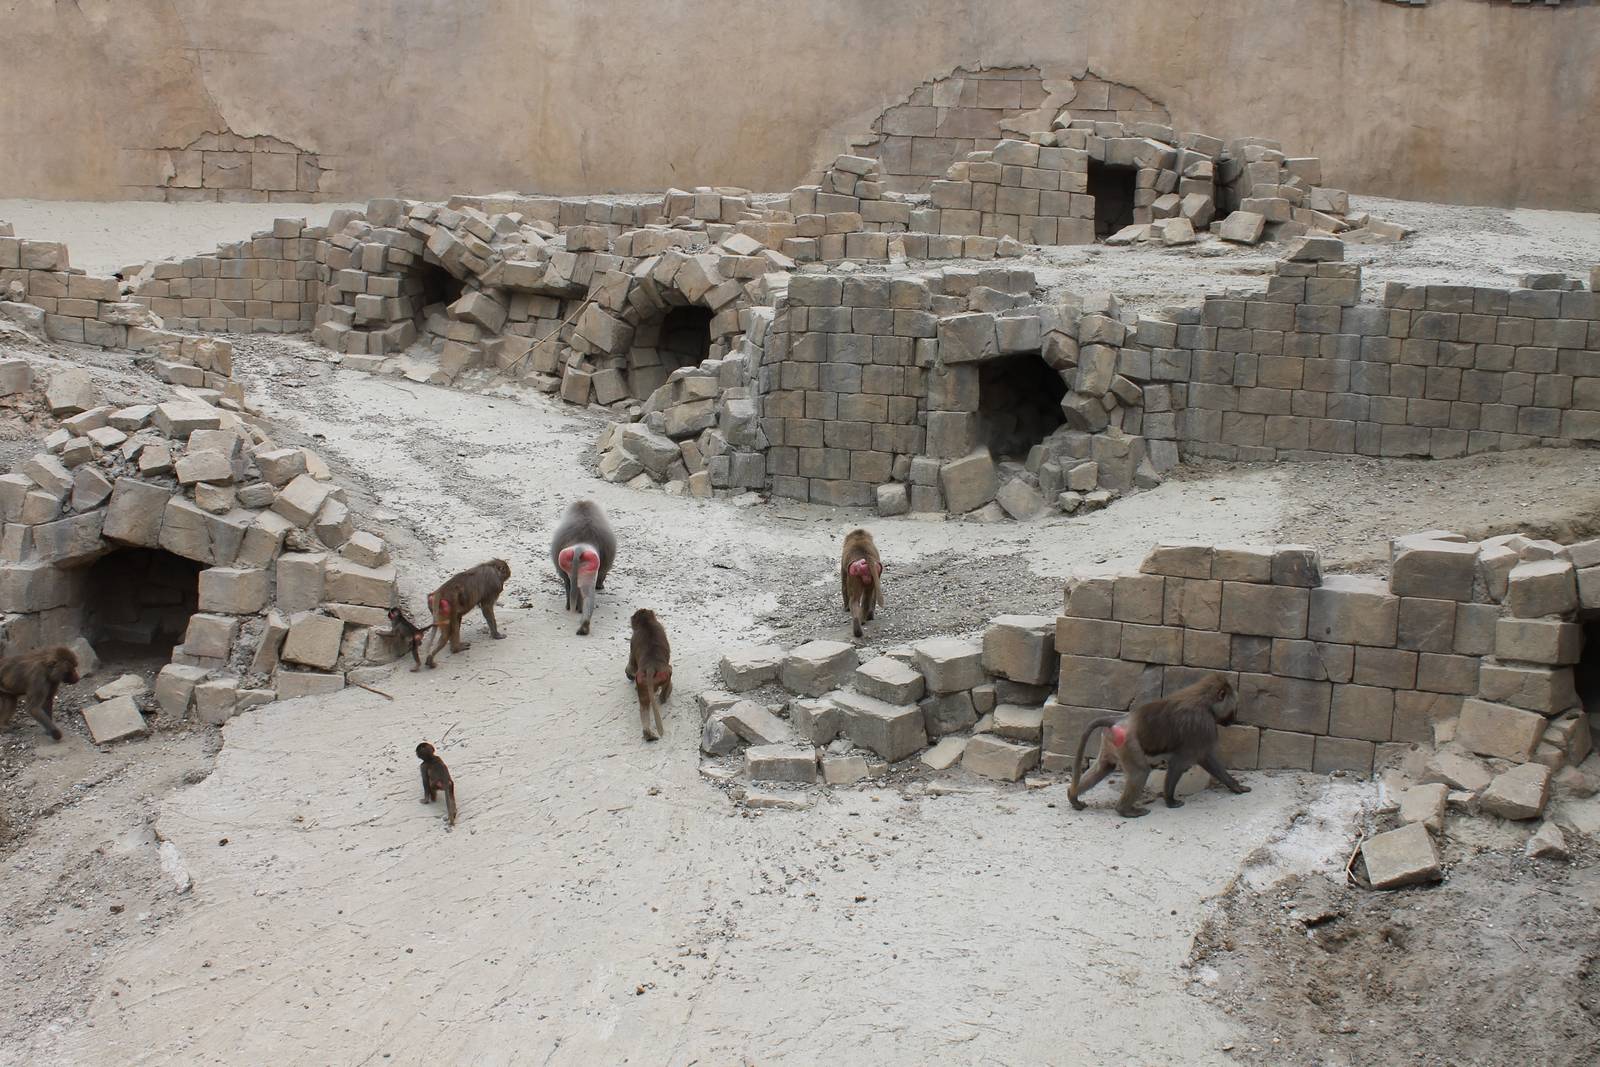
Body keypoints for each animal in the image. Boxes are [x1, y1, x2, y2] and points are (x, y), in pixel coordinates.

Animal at [549, 499, 617, 636]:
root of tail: (580, 546)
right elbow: (602, 574)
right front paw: (600, 586)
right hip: (589, 567)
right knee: (585, 593)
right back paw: (583, 621)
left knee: (570, 584)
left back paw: (574, 612)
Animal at [624, 608, 672, 742]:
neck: (646, 623)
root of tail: (650, 667)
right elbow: (631, 665)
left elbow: (631, 666)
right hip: (663, 674)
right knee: (670, 671)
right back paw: (665, 695)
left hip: (642, 681)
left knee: (644, 705)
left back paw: (648, 734)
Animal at [1068, 673, 1251, 818]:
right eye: (1233, 707)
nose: (1233, 720)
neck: (1204, 700)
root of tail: (1120, 720)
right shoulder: (1204, 726)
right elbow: (1189, 761)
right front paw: (1170, 801)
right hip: (1129, 744)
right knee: (1140, 772)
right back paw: (1125, 810)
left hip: (1112, 742)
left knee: (1104, 767)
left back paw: (1073, 796)